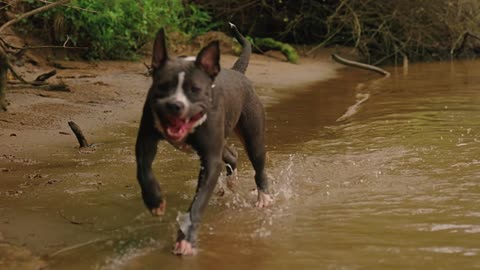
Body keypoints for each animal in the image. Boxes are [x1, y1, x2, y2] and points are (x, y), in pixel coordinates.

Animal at [135, 22, 272, 255]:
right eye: (162, 86)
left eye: (195, 89)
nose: (175, 105)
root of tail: (237, 72)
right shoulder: (145, 141)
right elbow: (143, 170)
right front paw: (154, 201)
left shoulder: (210, 160)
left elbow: (197, 204)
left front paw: (185, 240)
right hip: (222, 141)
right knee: (231, 155)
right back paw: (230, 182)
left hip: (253, 136)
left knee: (258, 165)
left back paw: (263, 198)